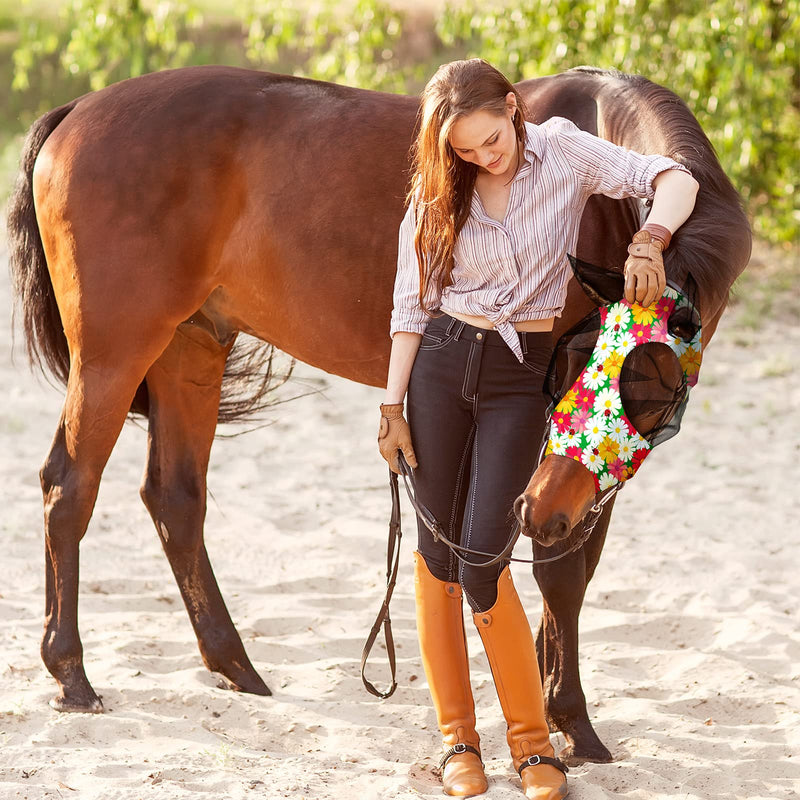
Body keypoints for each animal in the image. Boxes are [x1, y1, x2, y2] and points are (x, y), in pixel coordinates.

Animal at [7, 64, 750, 765]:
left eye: (650, 390)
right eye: (569, 366)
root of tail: (77, 111)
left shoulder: (589, 471)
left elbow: (575, 565)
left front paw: (552, 697)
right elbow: (559, 571)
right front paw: (571, 718)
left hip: (191, 344)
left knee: (176, 498)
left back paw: (235, 666)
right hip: (115, 356)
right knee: (69, 487)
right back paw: (71, 673)